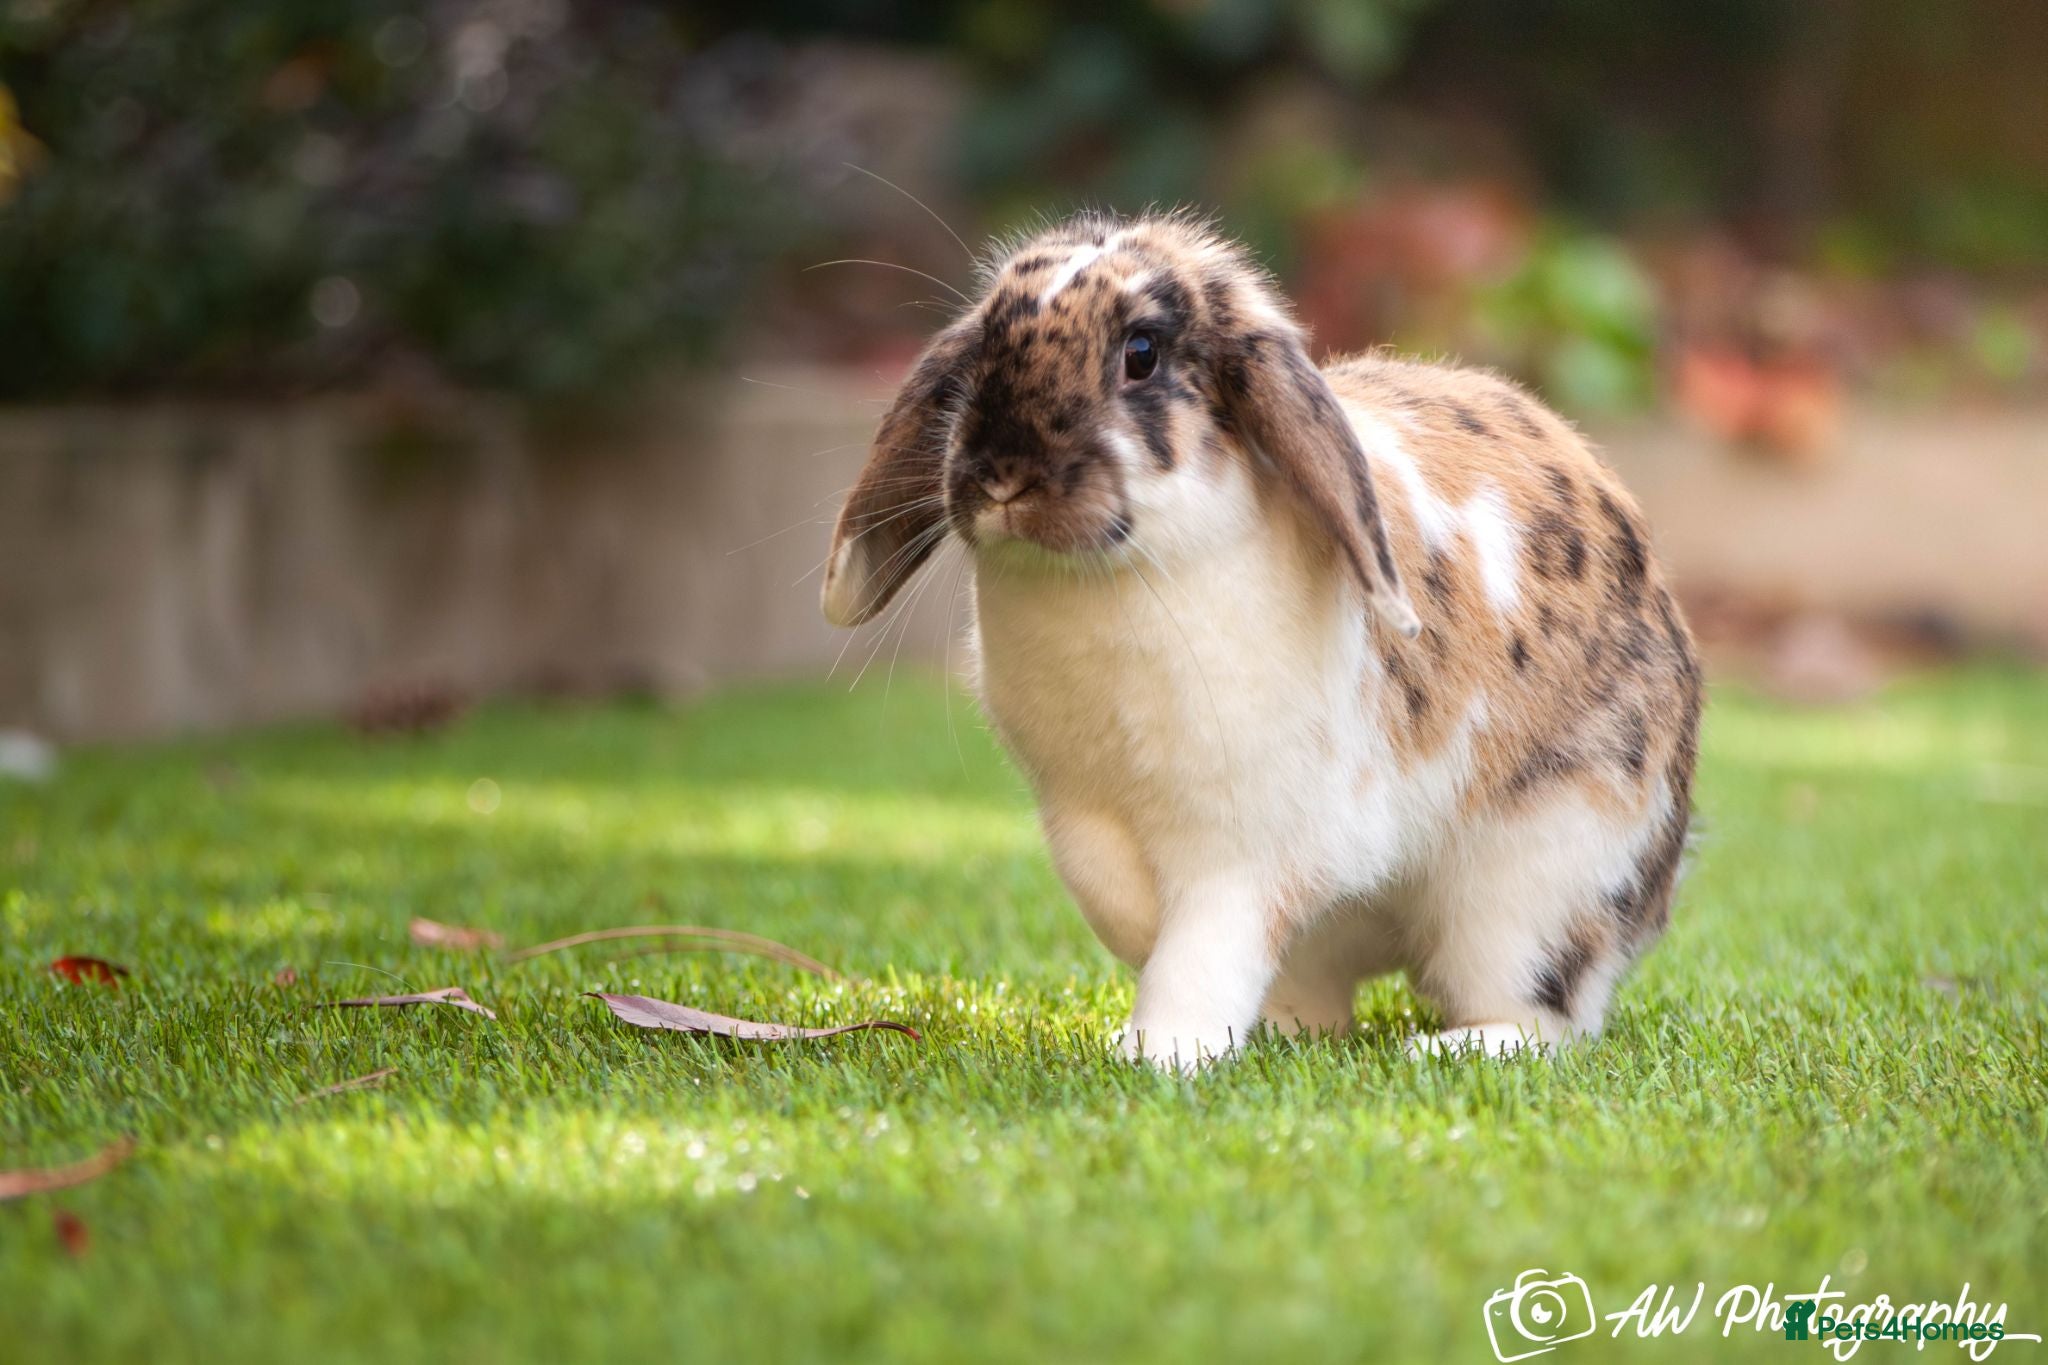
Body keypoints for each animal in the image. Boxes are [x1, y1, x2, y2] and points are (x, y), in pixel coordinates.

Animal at [821, 211, 1703, 1068]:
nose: (1003, 473)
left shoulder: (1242, 849)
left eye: (1141, 353)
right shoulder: (1081, 814)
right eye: (984, 347)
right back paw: (1288, 1030)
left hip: (1536, 881)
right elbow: (1132, 915)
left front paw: (1163, 1050)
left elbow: (1200, 947)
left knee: (1548, 1011)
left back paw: (1454, 1046)